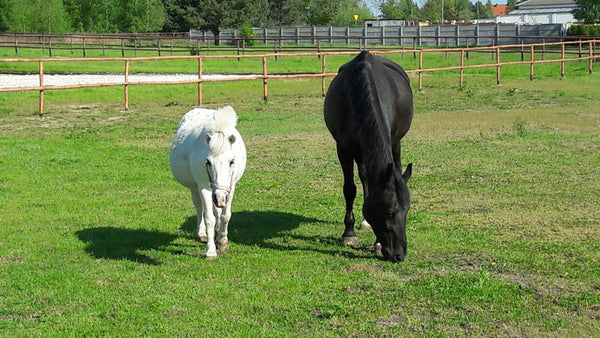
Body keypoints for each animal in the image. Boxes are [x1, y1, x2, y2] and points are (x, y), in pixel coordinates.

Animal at [169, 105, 246, 258]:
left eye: (232, 161)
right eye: (208, 162)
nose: (221, 198)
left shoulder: (230, 186)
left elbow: (225, 215)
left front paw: (222, 241)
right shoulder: (204, 187)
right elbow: (209, 218)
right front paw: (210, 250)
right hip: (195, 188)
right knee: (199, 208)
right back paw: (202, 233)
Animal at [324, 50, 412, 262]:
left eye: (407, 211)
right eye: (391, 212)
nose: (399, 255)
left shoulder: (391, 140)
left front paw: (377, 244)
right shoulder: (343, 148)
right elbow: (349, 189)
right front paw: (348, 233)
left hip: (394, 143)